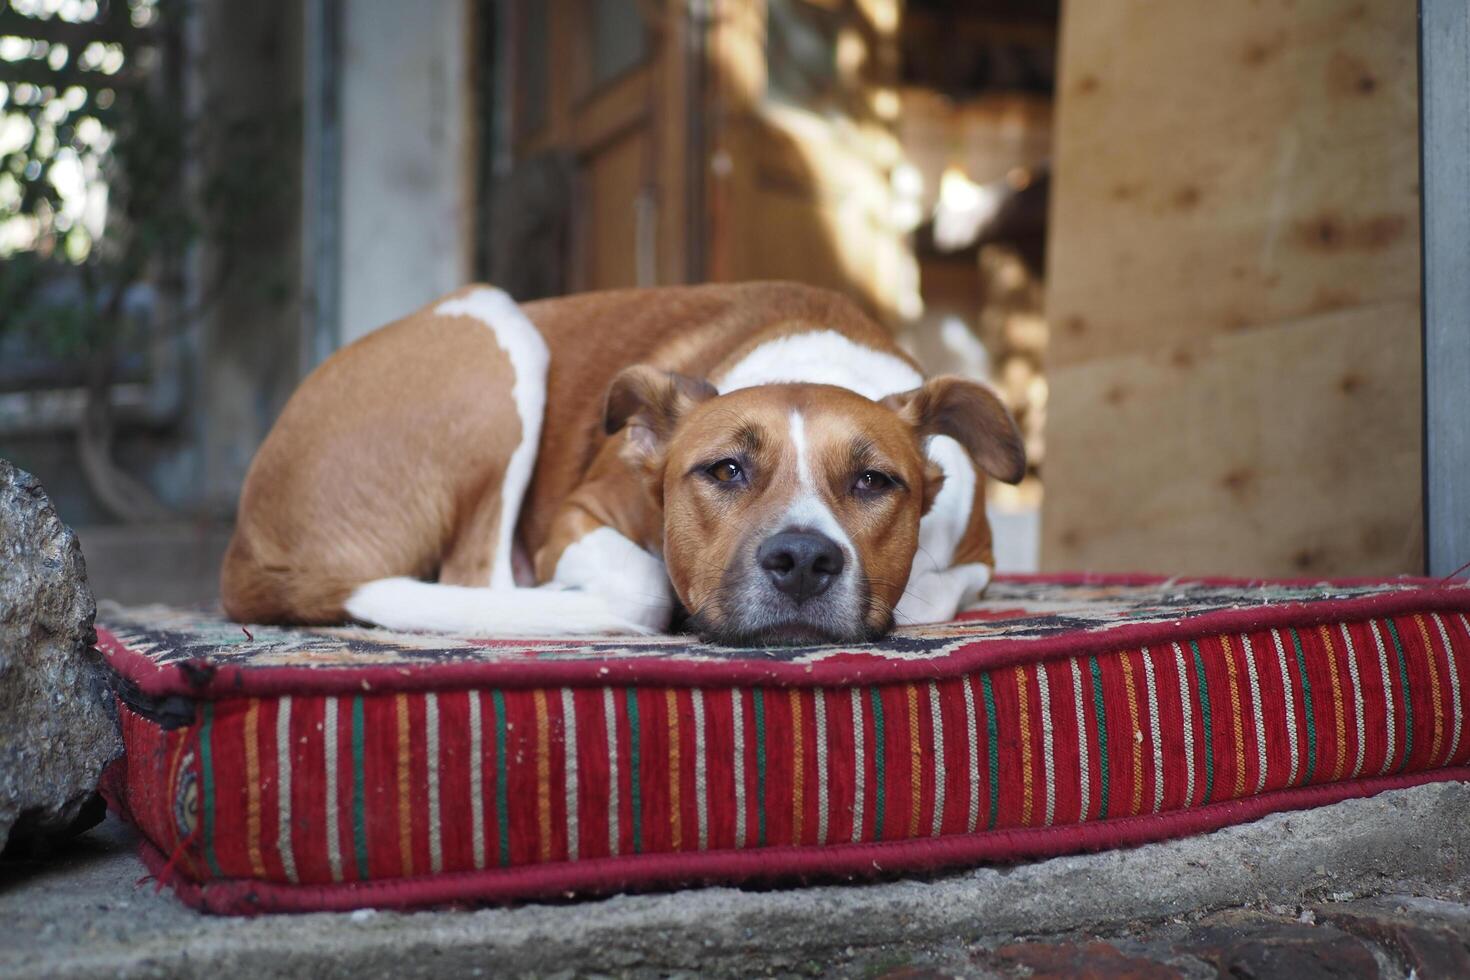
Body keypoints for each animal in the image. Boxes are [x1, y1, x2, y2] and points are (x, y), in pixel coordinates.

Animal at [220, 282, 1023, 643]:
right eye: (725, 470)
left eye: (872, 481)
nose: (801, 561)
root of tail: (247, 547)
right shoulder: (581, 513)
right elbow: (639, 582)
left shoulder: (979, 555)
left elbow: (931, 592)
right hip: (496, 328)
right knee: (472, 579)